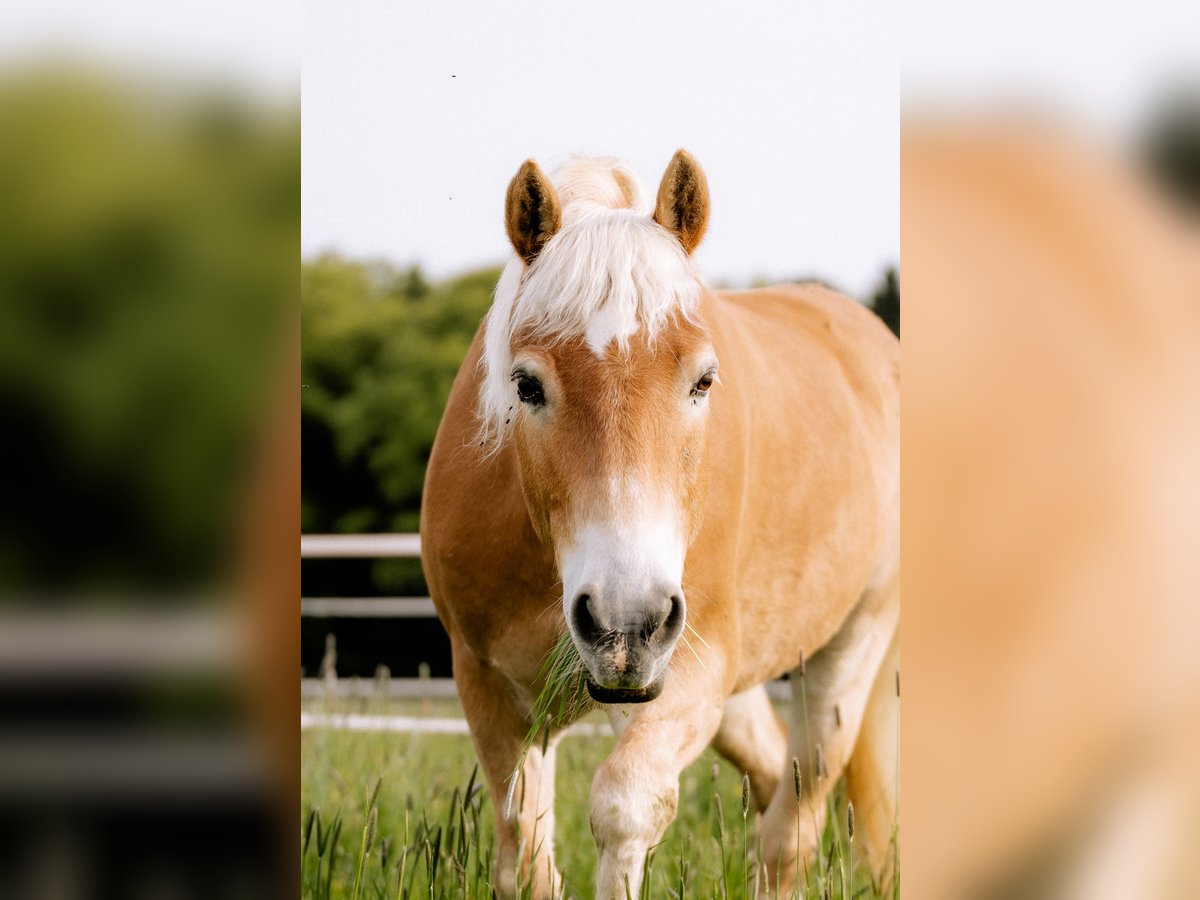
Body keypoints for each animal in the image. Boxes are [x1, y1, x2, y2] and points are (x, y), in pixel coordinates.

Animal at [422, 151, 902, 897]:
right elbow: (524, 855)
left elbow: (625, 808)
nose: (627, 624)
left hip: (846, 657)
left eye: (704, 381)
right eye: (526, 385)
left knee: (791, 830)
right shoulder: (489, 688)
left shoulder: (696, 672)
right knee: (774, 780)